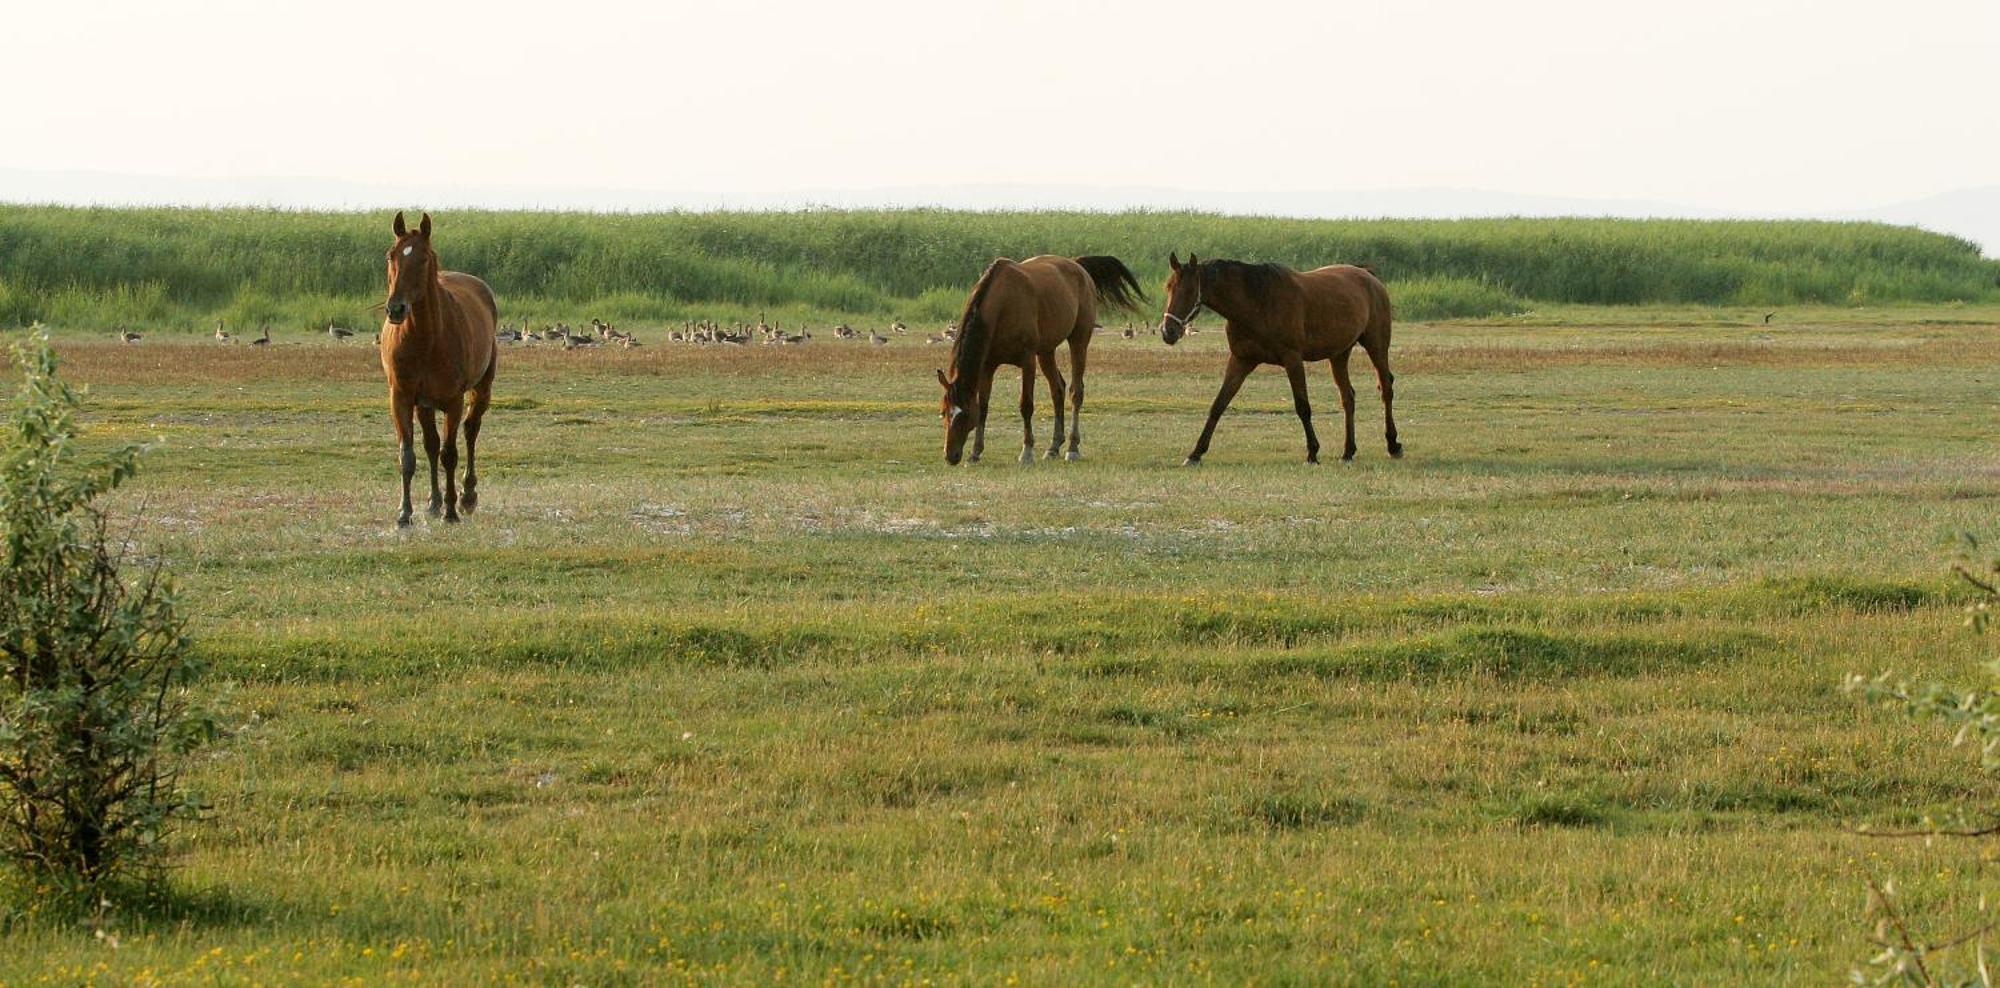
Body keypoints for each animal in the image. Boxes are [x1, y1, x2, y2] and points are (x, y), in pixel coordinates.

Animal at [380, 213, 498, 528]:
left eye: (423, 258)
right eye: (391, 255)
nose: (396, 309)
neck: (426, 339)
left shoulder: (453, 400)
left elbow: (450, 454)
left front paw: (451, 510)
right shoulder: (401, 398)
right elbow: (408, 454)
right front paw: (404, 513)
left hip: (481, 389)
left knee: (470, 431)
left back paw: (467, 496)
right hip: (424, 404)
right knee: (431, 445)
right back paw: (433, 503)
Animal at [932, 255, 1144, 464]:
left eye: (965, 414)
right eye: (943, 411)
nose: (950, 456)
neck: (1003, 304)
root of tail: (1078, 265)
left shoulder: (1027, 361)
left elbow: (1026, 405)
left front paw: (1026, 451)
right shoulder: (988, 365)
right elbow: (984, 407)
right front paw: (975, 452)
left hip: (1079, 340)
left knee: (1076, 392)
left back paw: (1072, 448)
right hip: (1046, 352)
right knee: (1057, 389)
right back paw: (1053, 447)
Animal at [1152, 256, 1400, 468]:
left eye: (1189, 290)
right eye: (1168, 287)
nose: (1168, 331)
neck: (1257, 303)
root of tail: (1370, 277)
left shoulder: (1292, 359)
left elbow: (1302, 407)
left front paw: (1312, 452)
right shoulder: (1241, 360)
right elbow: (1218, 405)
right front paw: (1195, 454)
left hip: (1376, 346)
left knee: (1386, 390)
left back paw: (1393, 445)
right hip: (1339, 354)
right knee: (1348, 397)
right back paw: (1348, 451)